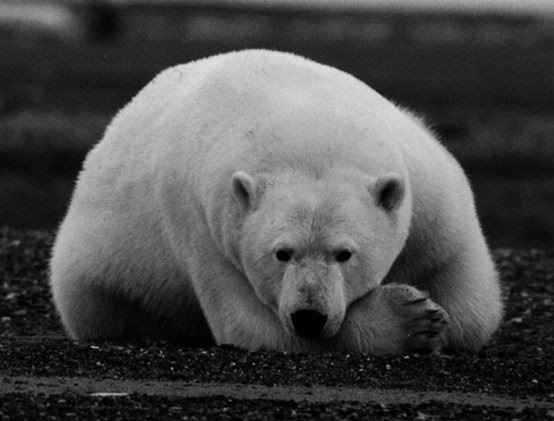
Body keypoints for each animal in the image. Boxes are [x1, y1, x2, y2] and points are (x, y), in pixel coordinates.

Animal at [49, 49, 502, 352]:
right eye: (282, 253)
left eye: (344, 253)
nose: (309, 316)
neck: (310, 127)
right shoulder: (206, 224)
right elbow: (252, 326)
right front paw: (412, 320)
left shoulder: (430, 189)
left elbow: (472, 305)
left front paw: (437, 316)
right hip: (96, 275)